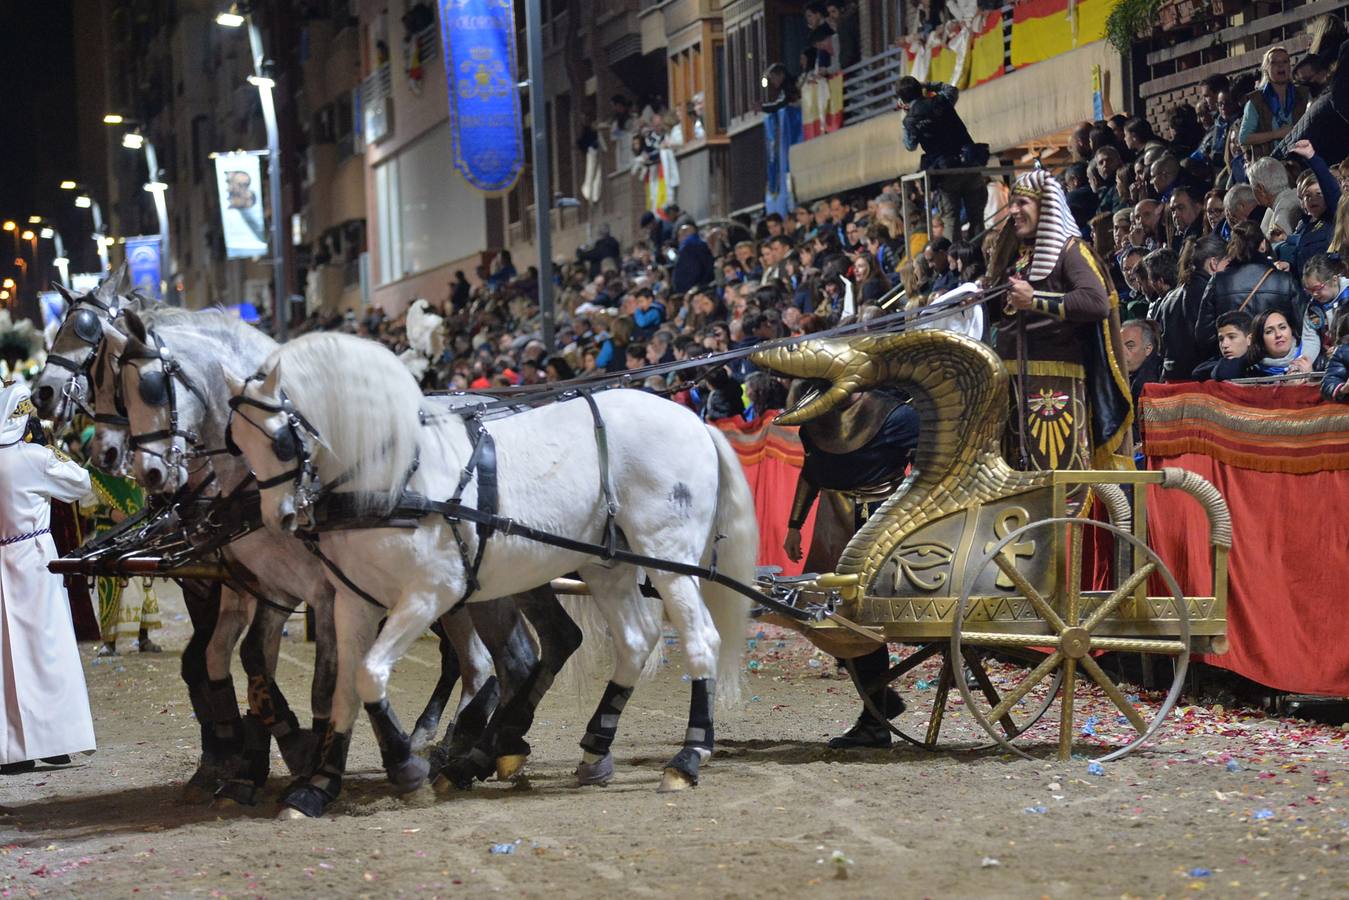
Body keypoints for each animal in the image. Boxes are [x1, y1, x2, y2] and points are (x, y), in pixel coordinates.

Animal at [226, 333, 766, 814]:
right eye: (237, 442)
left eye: (279, 441)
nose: (279, 520)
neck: (398, 475)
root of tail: (693, 421)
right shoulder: (354, 600)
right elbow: (345, 690)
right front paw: (317, 787)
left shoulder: (429, 594)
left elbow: (370, 674)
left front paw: (407, 769)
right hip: (605, 563)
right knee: (634, 640)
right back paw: (592, 749)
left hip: (668, 558)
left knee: (701, 640)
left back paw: (687, 756)